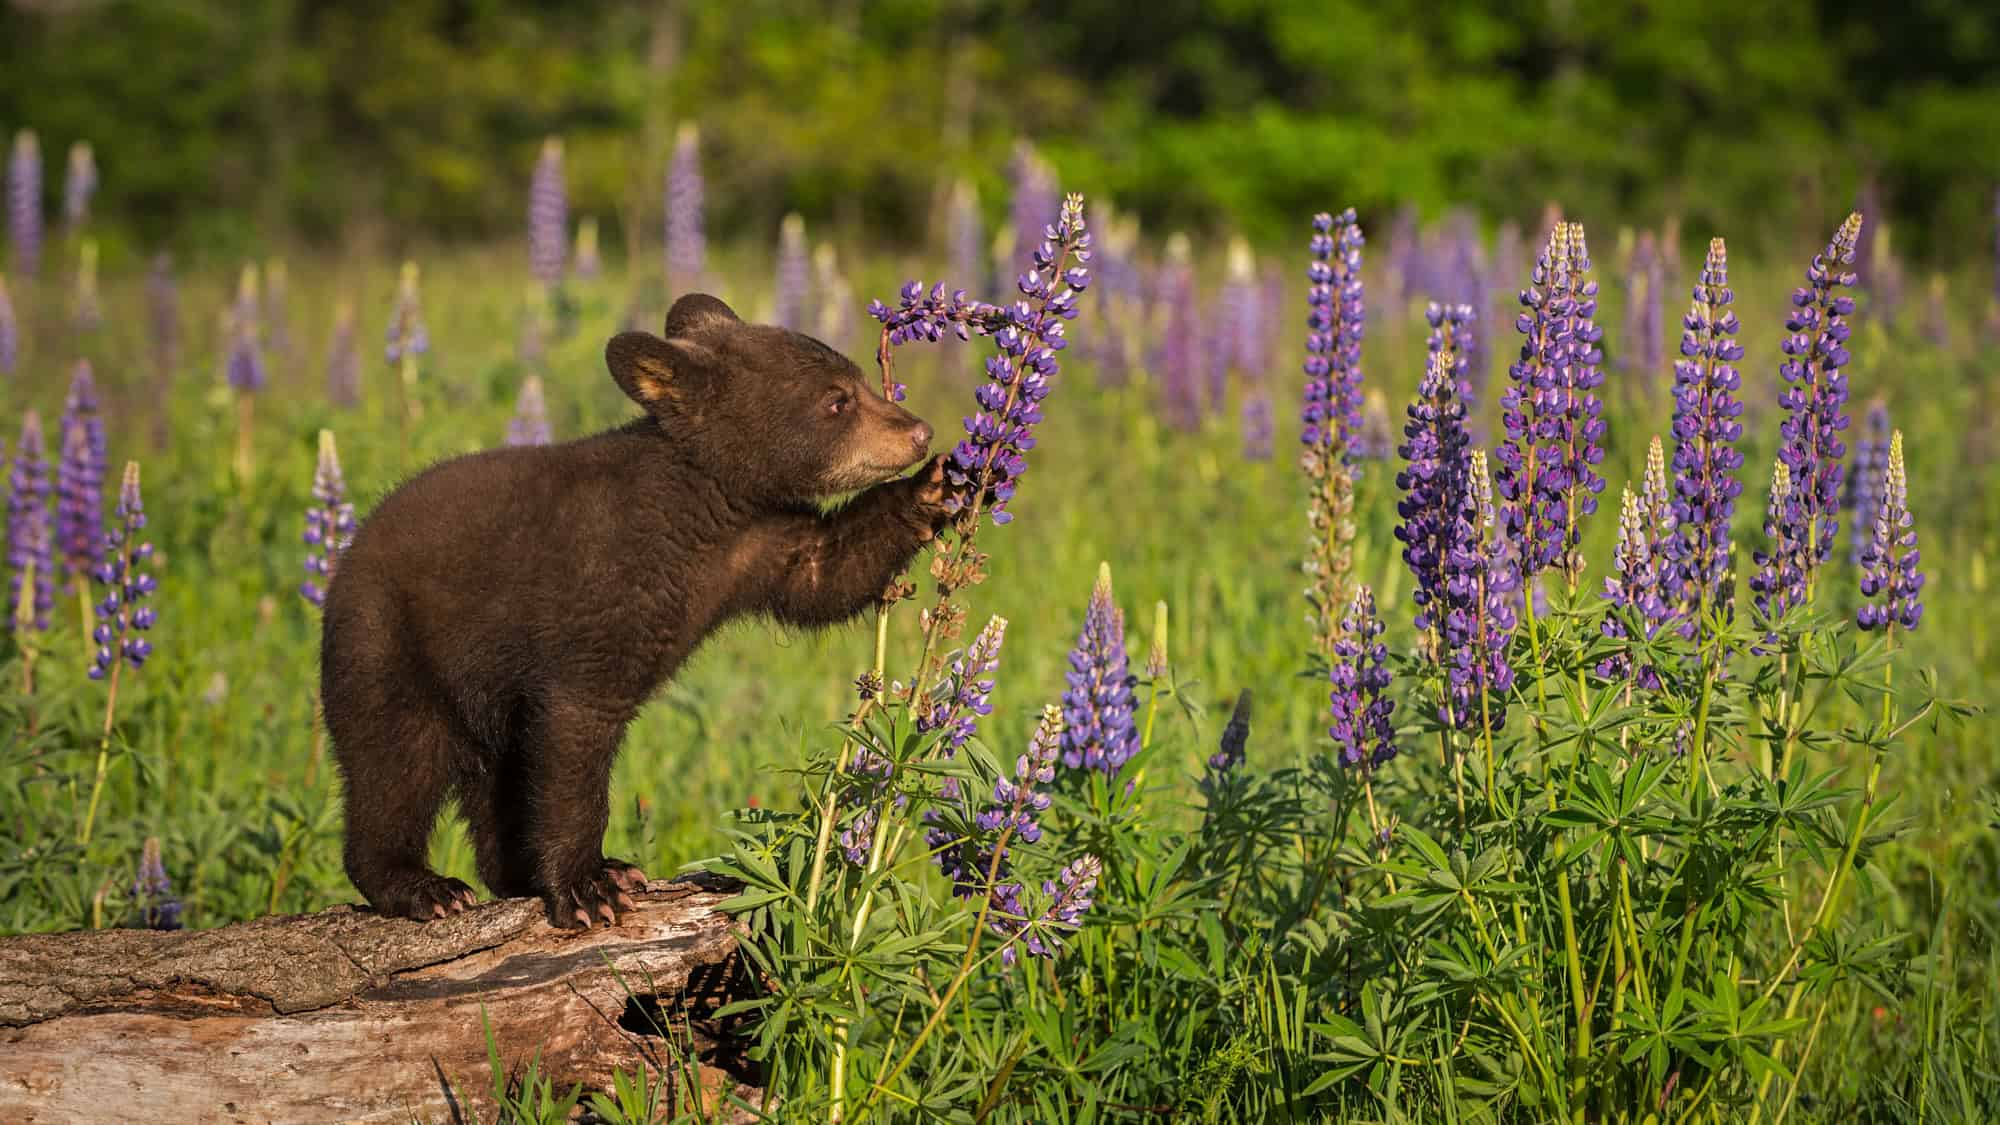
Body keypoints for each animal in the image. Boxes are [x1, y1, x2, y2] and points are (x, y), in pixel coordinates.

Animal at [320, 293, 951, 927]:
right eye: (836, 400)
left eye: (862, 380)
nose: (919, 431)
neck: (705, 509)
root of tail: (345, 560)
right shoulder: (598, 596)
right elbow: (576, 736)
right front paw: (589, 887)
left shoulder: (761, 543)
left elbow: (828, 573)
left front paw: (938, 487)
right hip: (388, 646)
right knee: (395, 765)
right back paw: (423, 886)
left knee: (494, 780)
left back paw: (513, 874)